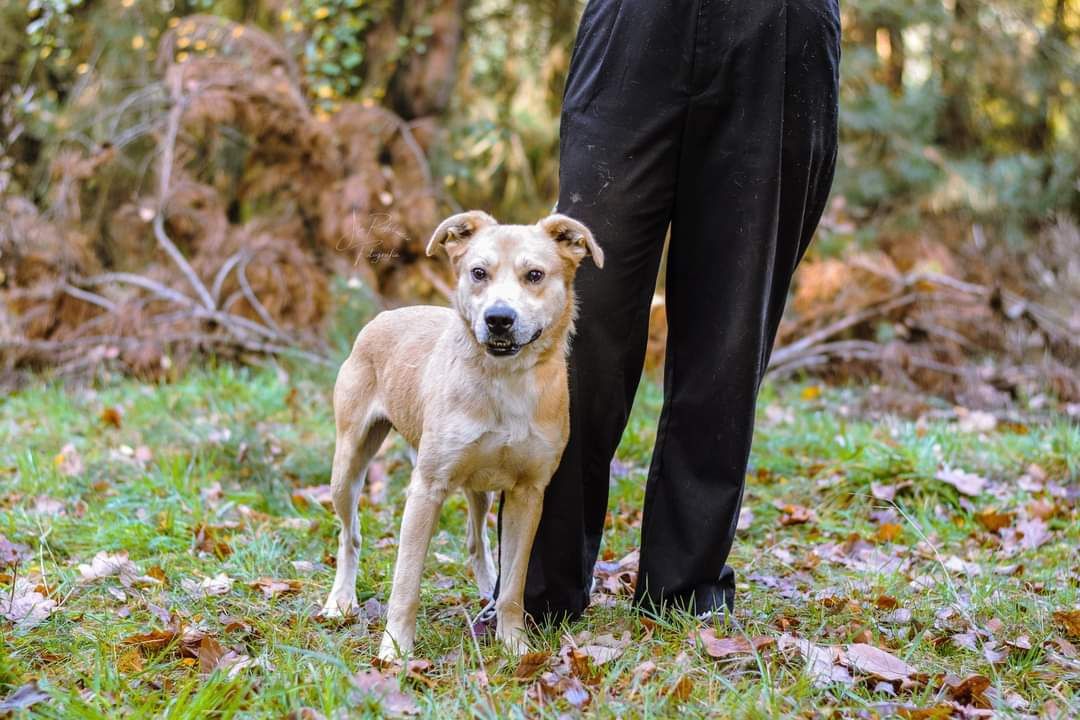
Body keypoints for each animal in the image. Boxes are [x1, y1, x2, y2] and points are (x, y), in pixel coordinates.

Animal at [319, 208, 609, 660]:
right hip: (348, 463)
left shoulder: (529, 493)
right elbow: (407, 583)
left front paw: (515, 645)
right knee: (350, 535)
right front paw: (395, 650)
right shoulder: (427, 488)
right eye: (478, 272)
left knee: (477, 541)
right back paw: (341, 600)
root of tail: (384, 315)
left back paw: (486, 591)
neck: (504, 382)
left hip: (481, 487)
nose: (499, 318)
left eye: (535, 275)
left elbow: (514, 584)